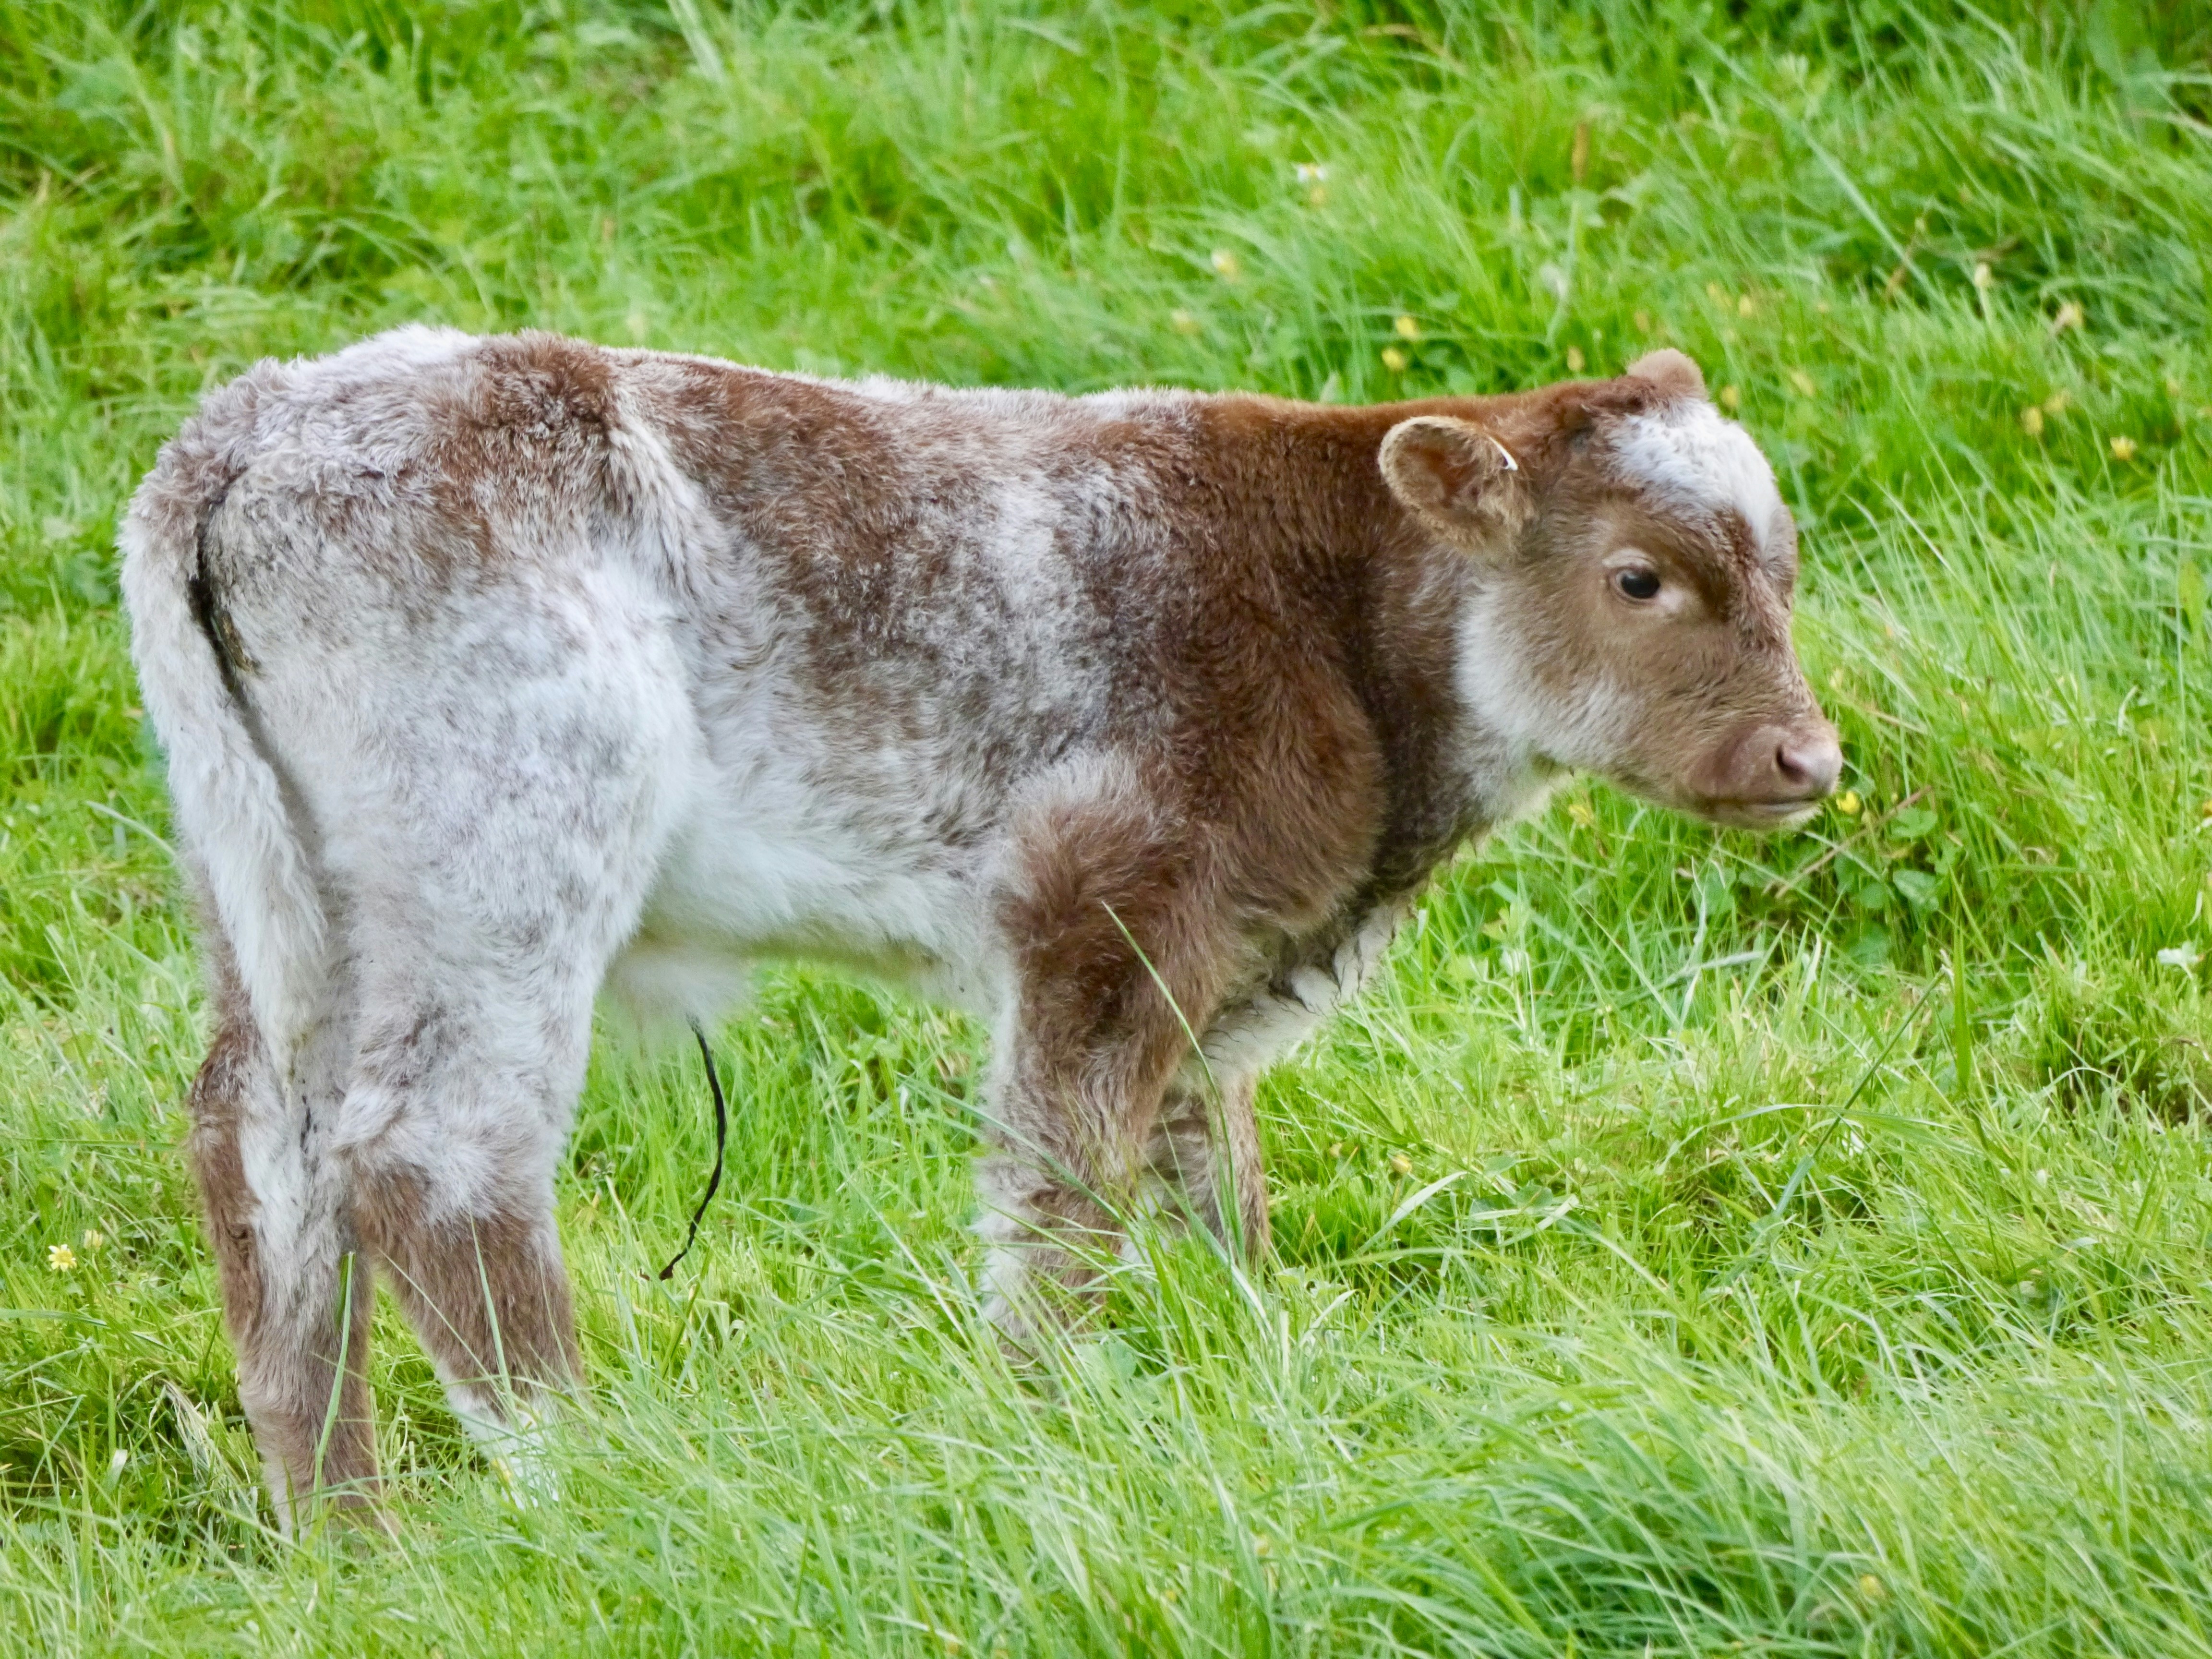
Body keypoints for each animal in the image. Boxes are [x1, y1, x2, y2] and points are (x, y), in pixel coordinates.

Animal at [122, 328, 1839, 1526]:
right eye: (1638, 577)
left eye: (1784, 570)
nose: (1807, 761)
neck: (1331, 607)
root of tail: (252, 423)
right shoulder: (1100, 914)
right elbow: (1058, 1197)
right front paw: (1040, 1423)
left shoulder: (1210, 973)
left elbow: (1214, 1188)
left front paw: (1256, 1382)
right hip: (503, 865)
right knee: (434, 1160)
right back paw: (603, 1483)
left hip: (283, 900)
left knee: (257, 1148)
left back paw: (350, 1540)